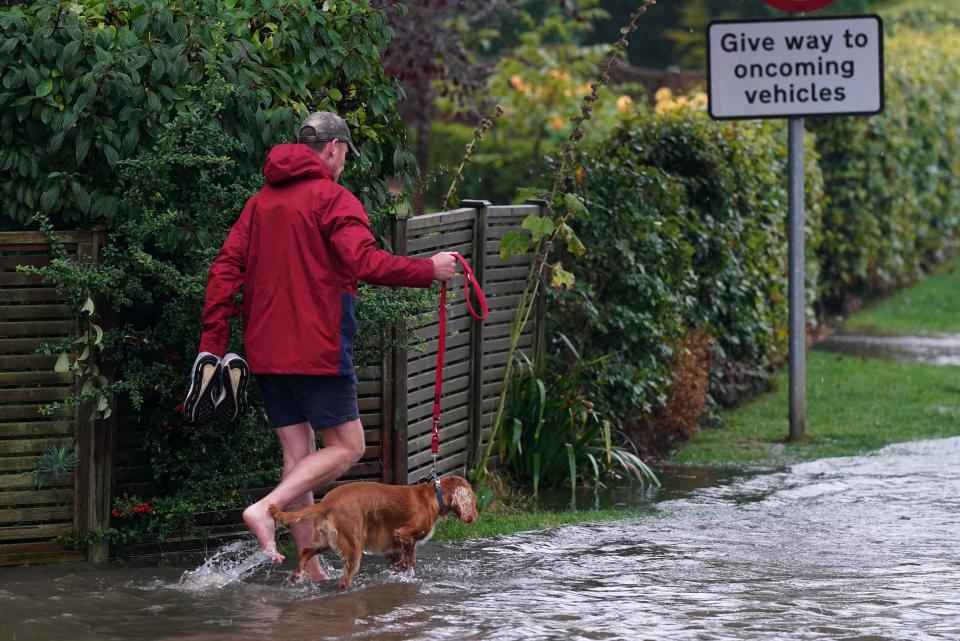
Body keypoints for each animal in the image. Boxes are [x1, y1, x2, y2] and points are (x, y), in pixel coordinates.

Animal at [268, 472, 478, 588]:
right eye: (474, 500)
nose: (475, 517)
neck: (435, 494)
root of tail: (327, 502)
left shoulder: (395, 544)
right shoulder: (404, 534)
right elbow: (411, 561)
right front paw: (402, 570)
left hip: (325, 540)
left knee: (305, 551)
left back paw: (296, 576)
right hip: (353, 546)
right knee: (345, 578)